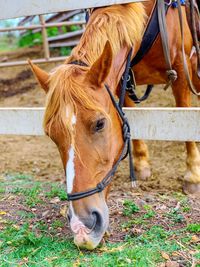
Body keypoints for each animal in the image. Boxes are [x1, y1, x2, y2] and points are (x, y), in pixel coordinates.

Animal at [28, 0, 200, 251]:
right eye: (51, 134)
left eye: (100, 124)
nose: (82, 226)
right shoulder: (124, 79)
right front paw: (141, 165)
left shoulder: (181, 68)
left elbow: (185, 121)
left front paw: (192, 176)